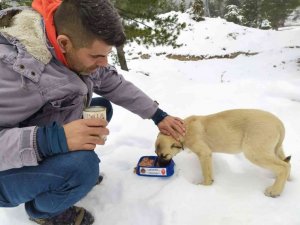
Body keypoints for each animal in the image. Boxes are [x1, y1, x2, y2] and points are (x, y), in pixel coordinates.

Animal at [156, 109, 292, 197]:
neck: (185, 130)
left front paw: (205, 186)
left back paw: (274, 191)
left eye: (164, 156)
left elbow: (206, 172)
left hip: (255, 152)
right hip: (275, 149)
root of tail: (280, 124)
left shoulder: (204, 153)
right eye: (156, 154)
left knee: (283, 167)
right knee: (287, 163)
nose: (159, 165)